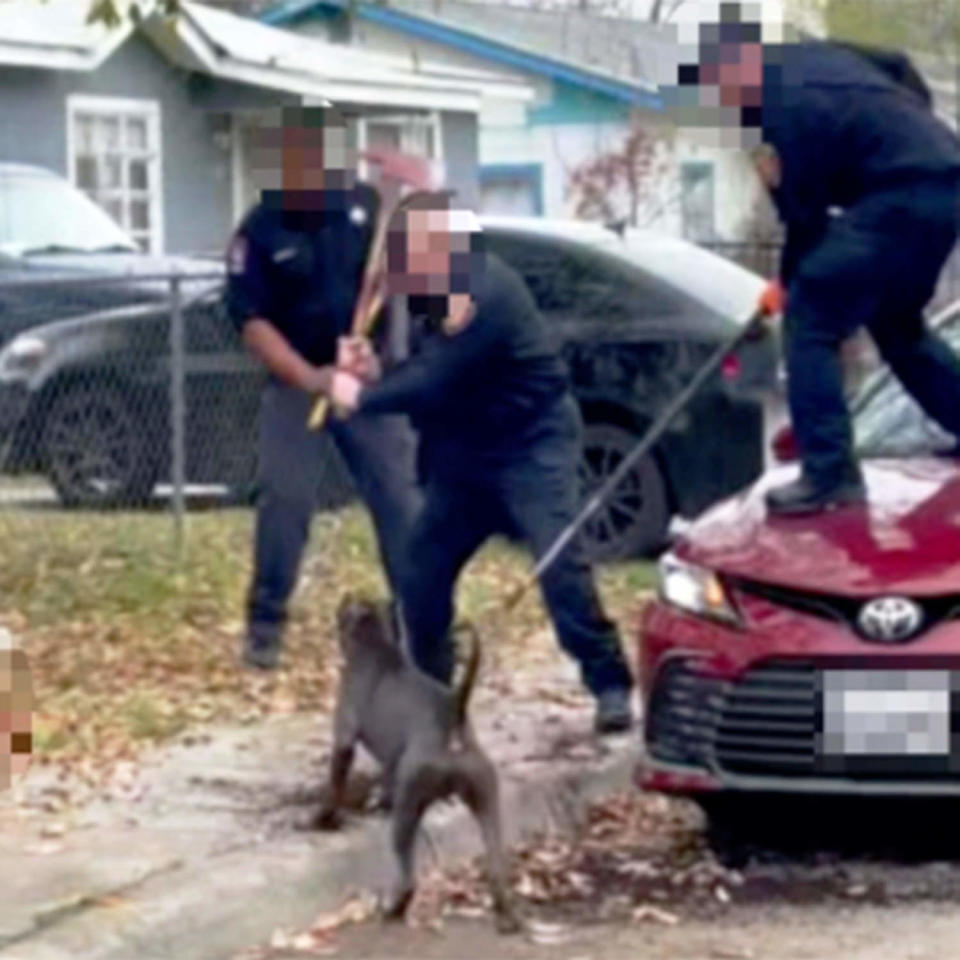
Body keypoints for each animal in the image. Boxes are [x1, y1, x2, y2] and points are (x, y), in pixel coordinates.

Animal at [316, 592, 520, 928]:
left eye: (345, 606)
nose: (344, 596)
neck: (376, 643)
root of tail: (453, 709)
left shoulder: (344, 737)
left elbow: (335, 783)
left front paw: (323, 819)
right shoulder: (390, 761)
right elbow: (385, 778)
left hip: (410, 804)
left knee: (408, 874)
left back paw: (393, 910)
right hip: (486, 798)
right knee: (497, 863)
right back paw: (507, 915)